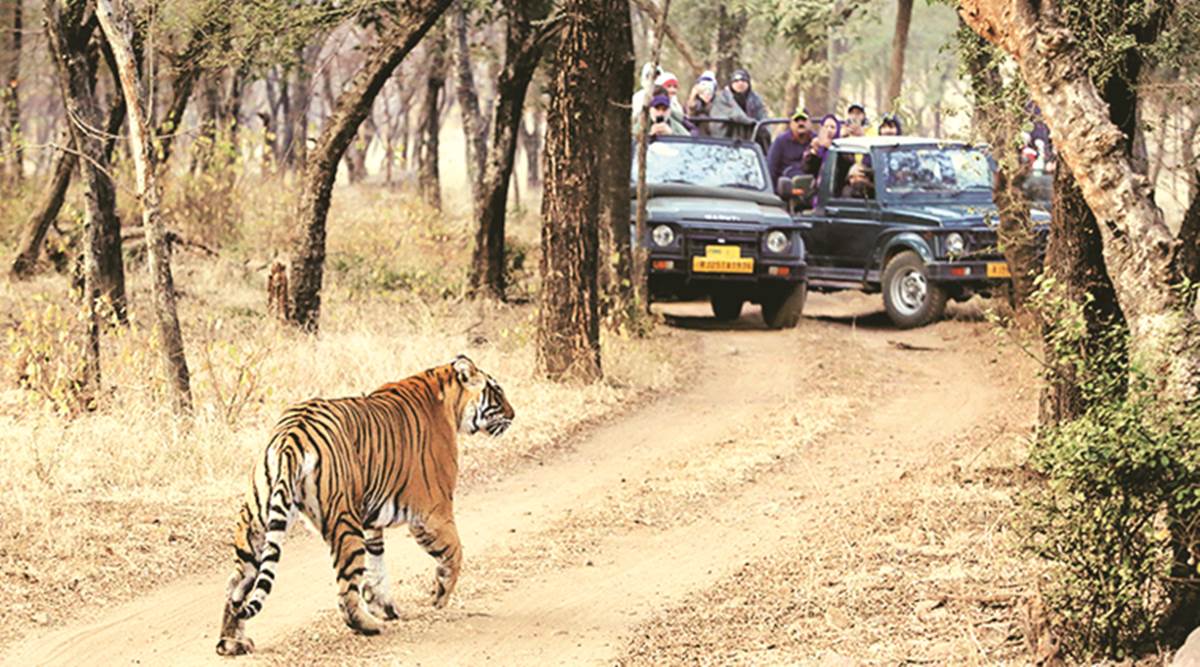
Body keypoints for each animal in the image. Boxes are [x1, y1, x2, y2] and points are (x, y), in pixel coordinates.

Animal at [216, 357, 511, 652]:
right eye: (497, 392)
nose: (514, 414)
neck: (446, 394)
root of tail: (292, 435)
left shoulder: (371, 520)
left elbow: (376, 565)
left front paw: (386, 606)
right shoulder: (433, 512)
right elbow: (455, 552)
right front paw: (439, 595)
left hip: (256, 524)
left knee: (236, 585)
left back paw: (231, 643)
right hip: (345, 523)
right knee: (345, 591)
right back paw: (369, 626)